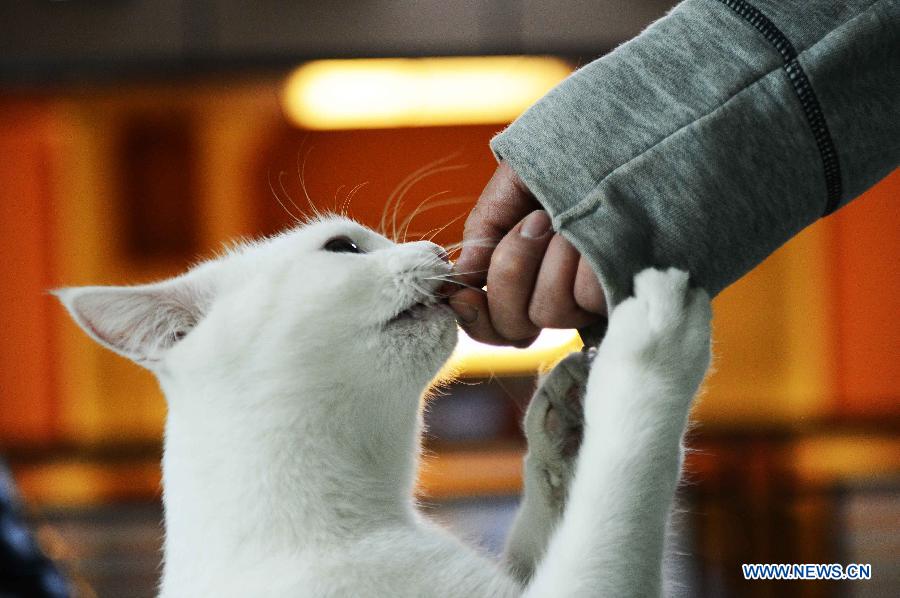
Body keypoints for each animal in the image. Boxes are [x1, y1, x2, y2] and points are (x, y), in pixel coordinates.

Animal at [54, 217, 712, 598]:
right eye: (344, 246)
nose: (434, 249)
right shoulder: (586, 584)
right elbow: (624, 477)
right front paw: (653, 336)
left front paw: (567, 420)